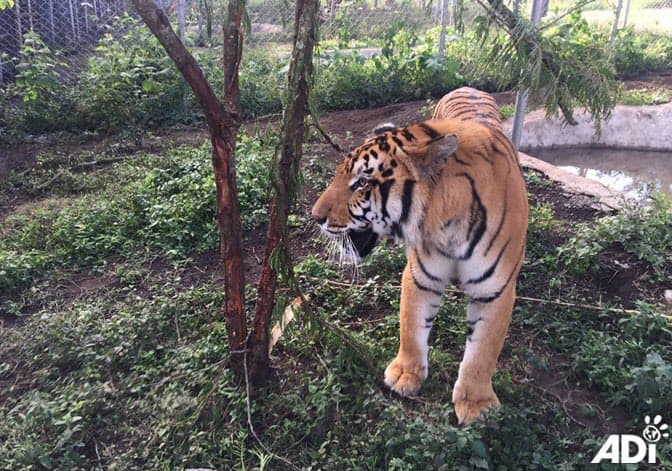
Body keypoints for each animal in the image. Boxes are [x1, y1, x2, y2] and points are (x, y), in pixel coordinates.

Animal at [311, 87, 528, 424]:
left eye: (362, 183)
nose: (315, 216)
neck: (448, 224)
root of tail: (467, 87)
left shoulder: (495, 291)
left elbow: (483, 350)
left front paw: (476, 403)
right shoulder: (420, 276)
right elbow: (411, 328)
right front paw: (404, 375)